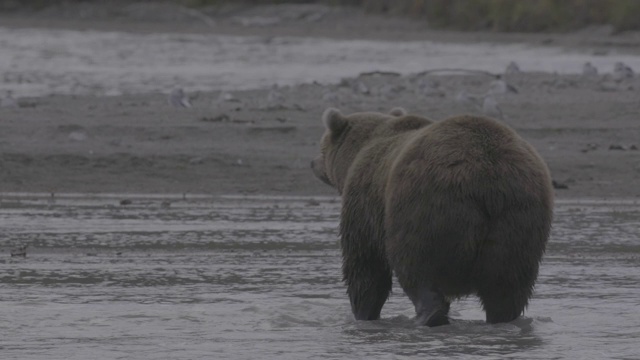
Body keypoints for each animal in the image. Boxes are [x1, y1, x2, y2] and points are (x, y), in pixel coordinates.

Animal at [312, 106, 552, 326]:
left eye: (322, 148)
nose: (313, 164)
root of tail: (488, 177)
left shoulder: (365, 201)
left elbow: (365, 264)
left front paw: (363, 314)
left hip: (428, 208)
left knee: (416, 268)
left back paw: (426, 316)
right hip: (518, 218)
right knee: (507, 287)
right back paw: (505, 319)